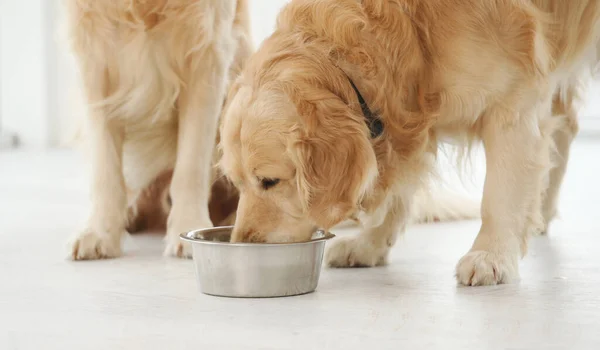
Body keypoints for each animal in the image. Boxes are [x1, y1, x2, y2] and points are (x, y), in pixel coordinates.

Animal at [66, 0, 253, 258]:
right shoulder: (93, 54)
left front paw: (188, 227)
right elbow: (105, 168)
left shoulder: (207, 52)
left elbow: (191, 166)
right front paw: (99, 232)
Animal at [221, 0, 596, 286]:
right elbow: (398, 189)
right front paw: (369, 245)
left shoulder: (513, 100)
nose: (240, 244)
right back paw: (541, 212)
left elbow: (498, 196)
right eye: (237, 184)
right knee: (566, 124)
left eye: (270, 181)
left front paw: (491, 255)